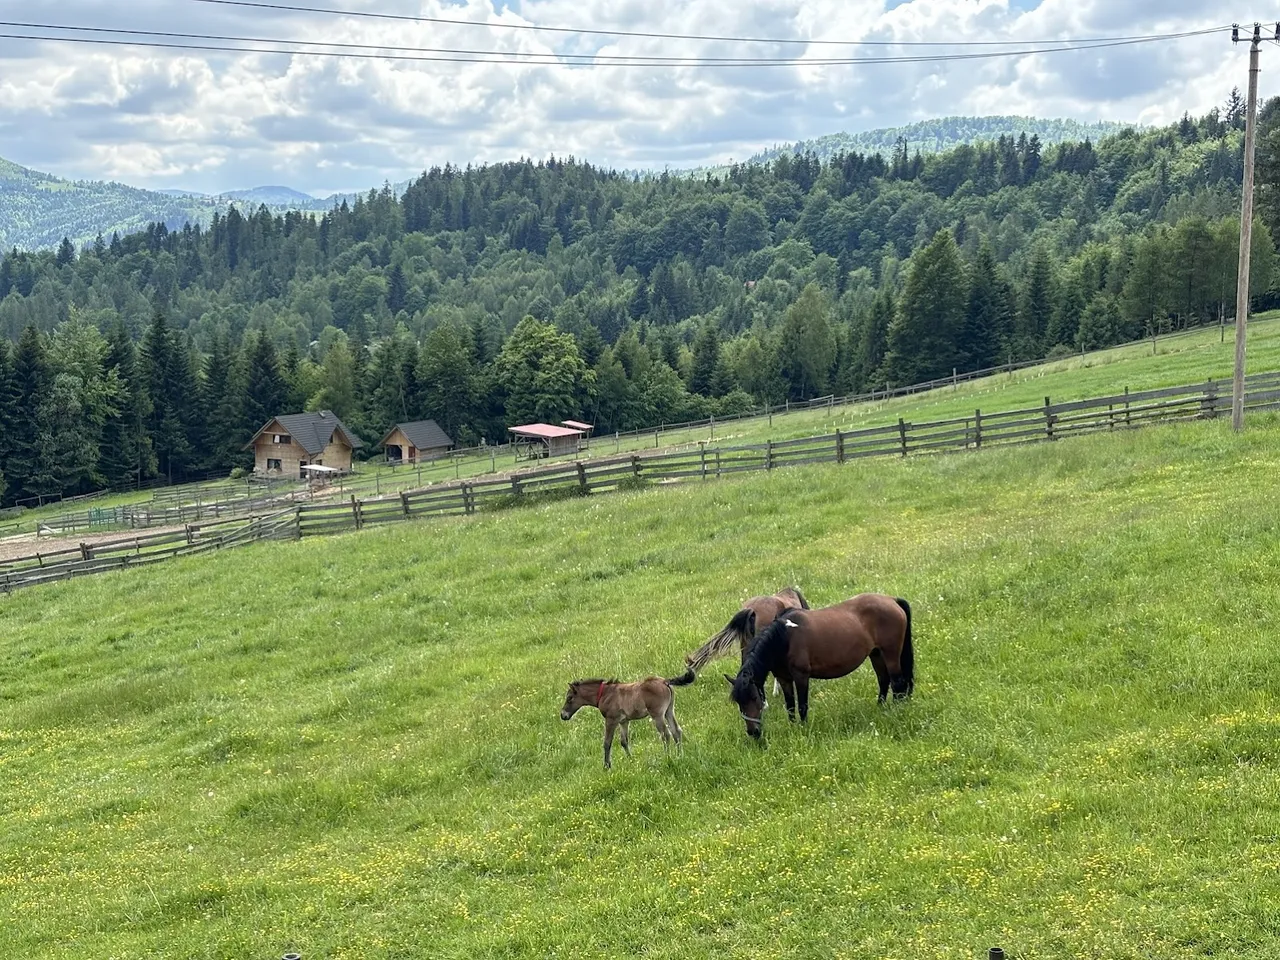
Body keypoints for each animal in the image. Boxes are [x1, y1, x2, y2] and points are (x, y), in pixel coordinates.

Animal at [560, 670, 696, 773]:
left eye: (569, 698)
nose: (563, 715)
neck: (605, 694)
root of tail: (665, 681)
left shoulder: (611, 720)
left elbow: (607, 743)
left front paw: (606, 766)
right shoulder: (623, 721)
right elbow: (624, 741)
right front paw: (631, 760)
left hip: (657, 715)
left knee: (666, 734)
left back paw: (667, 757)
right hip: (669, 711)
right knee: (676, 731)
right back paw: (679, 756)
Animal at [727, 593, 916, 742]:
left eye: (754, 697)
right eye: (738, 702)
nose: (753, 732)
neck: (784, 637)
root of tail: (892, 600)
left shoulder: (801, 676)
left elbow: (802, 705)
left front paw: (803, 729)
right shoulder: (784, 678)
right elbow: (790, 706)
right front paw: (792, 727)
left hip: (890, 654)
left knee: (897, 683)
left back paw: (895, 711)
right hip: (876, 654)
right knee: (883, 680)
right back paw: (880, 708)